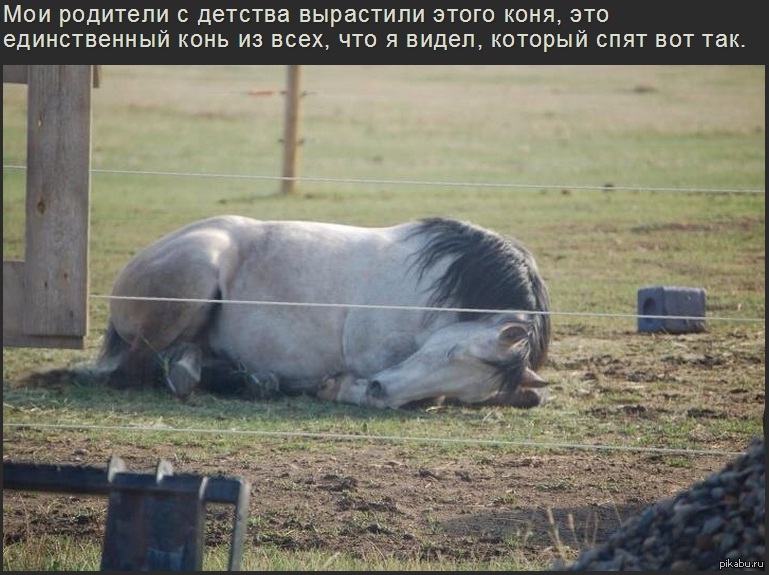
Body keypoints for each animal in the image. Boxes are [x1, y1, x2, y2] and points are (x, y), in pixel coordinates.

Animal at [97, 215, 552, 409]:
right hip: (191, 282)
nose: (379, 389)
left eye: (469, 391)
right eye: (451, 352)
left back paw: (249, 380)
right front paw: (345, 389)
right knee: (134, 370)